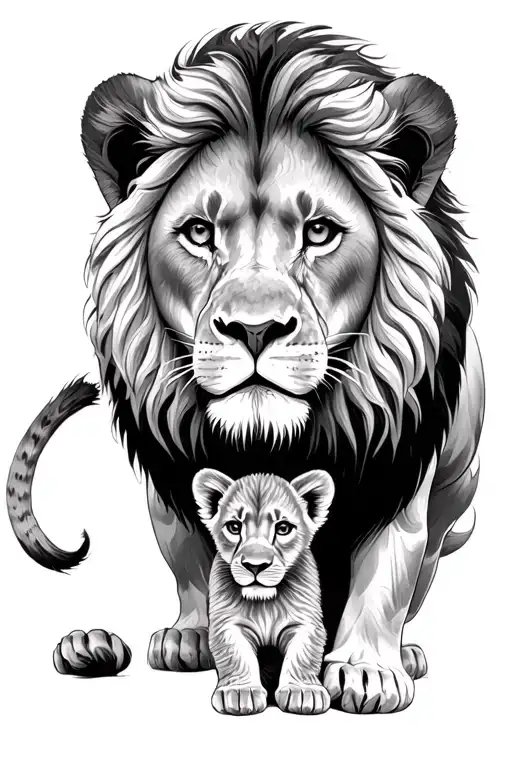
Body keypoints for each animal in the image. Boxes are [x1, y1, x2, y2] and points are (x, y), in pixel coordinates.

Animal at [193, 468, 333, 716]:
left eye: (283, 528)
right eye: (234, 527)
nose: (255, 565)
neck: (264, 602)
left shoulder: (305, 622)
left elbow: (302, 654)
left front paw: (303, 691)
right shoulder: (228, 624)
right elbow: (236, 655)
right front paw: (240, 693)